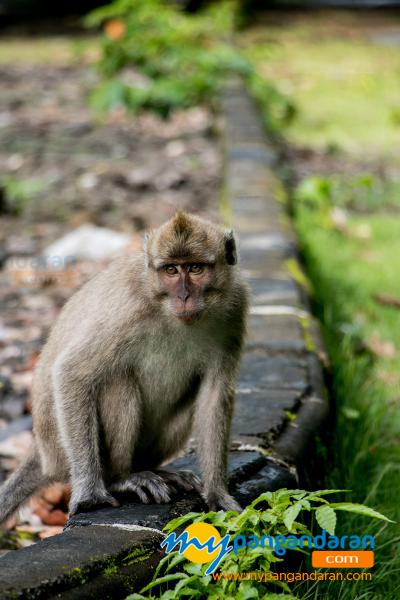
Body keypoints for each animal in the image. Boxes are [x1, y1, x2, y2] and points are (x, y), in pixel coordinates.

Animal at [0, 213, 248, 524]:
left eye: (195, 268)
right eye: (171, 270)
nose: (184, 296)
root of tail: (42, 453)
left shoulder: (236, 304)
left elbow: (214, 394)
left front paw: (216, 492)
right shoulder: (127, 307)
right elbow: (72, 373)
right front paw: (90, 494)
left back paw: (153, 470)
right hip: (60, 449)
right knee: (116, 382)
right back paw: (120, 478)